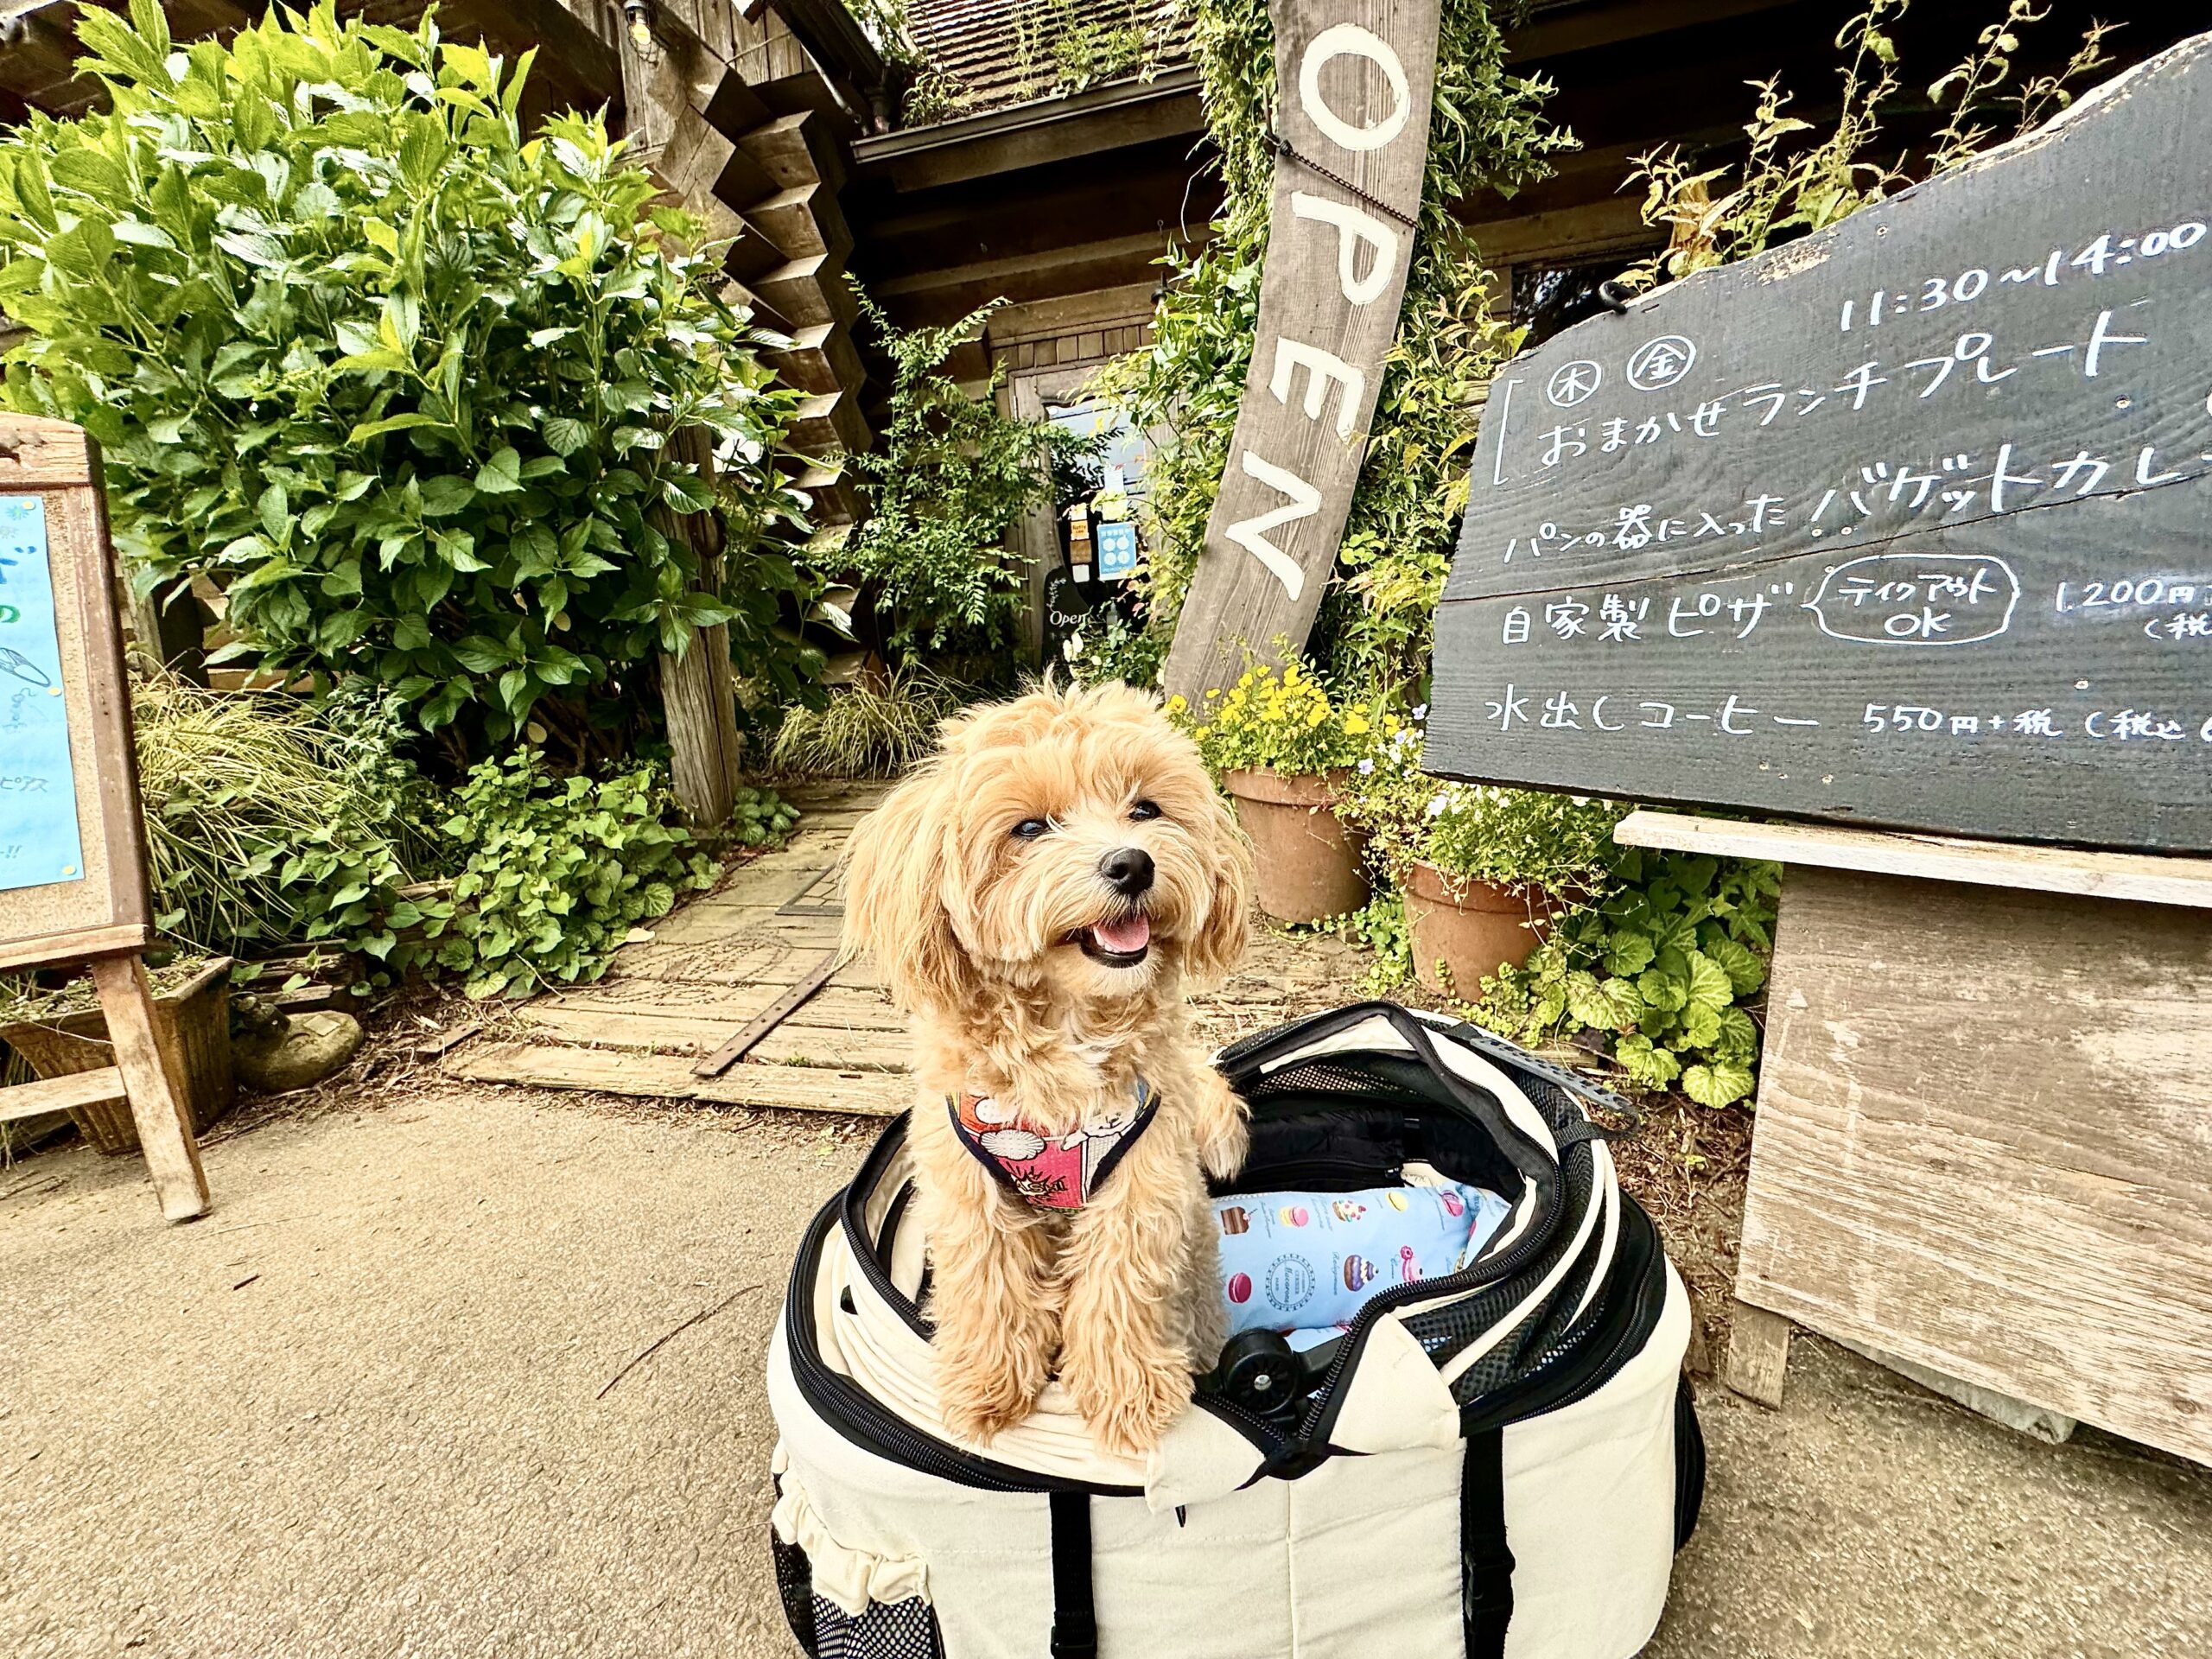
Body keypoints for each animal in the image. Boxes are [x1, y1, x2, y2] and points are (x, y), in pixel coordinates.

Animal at [836, 681, 1256, 1459]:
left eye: (1145, 809)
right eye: (1029, 828)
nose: (1132, 864)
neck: (1068, 1027)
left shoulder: (1141, 1182)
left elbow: (1119, 1288)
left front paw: (1128, 1397)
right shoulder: (970, 1189)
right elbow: (988, 1284)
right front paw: (985, 1387)